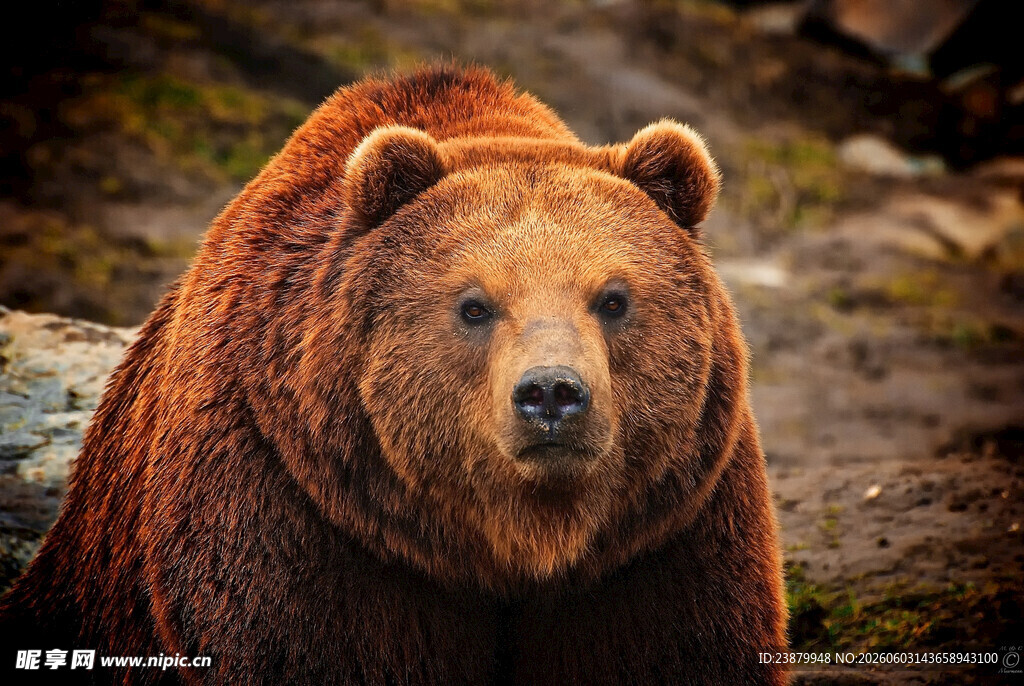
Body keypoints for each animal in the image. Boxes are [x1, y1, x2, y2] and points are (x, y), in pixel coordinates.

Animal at [0, 65, 787, 685]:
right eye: (474, 305)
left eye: (614, 298)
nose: (552, 395)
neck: (512, 543)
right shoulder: (296, 509)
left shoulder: (662, 532)